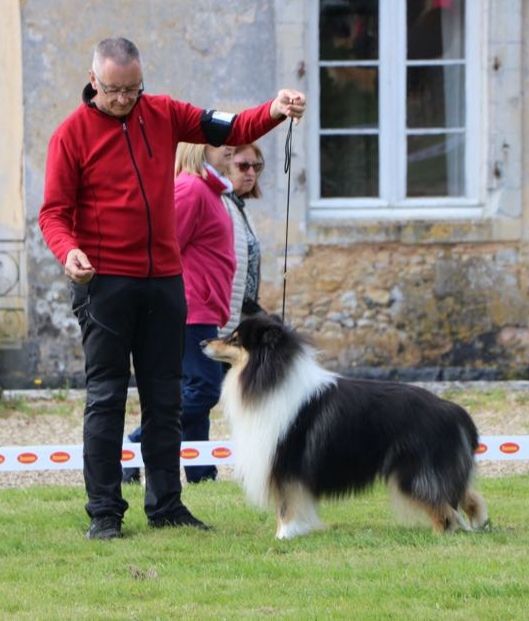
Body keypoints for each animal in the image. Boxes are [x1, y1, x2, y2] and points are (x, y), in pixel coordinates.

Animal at [201, 314, 486, 536]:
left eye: (235, 339)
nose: (202, 342)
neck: (270, 378)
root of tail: (452, 409)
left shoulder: (285, 462)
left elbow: (285, 505)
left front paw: (284, 534)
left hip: (414, 472)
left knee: (445, 512)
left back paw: (441, 534)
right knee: (466, 496)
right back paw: (479, 523)